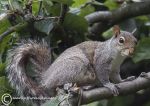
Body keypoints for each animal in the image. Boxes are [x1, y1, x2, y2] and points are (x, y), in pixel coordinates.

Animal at [6, 25, 137, 99]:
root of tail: (46, 76)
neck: (118, 56)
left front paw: (125, 80)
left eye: (136, 41)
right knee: (56, 84)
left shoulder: (115, 69)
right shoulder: (101, 60)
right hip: (76, 65)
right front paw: (109, 85)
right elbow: (103, 75)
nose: (131, 51)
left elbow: (117, 78)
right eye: (121, 40)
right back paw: (67, 85)